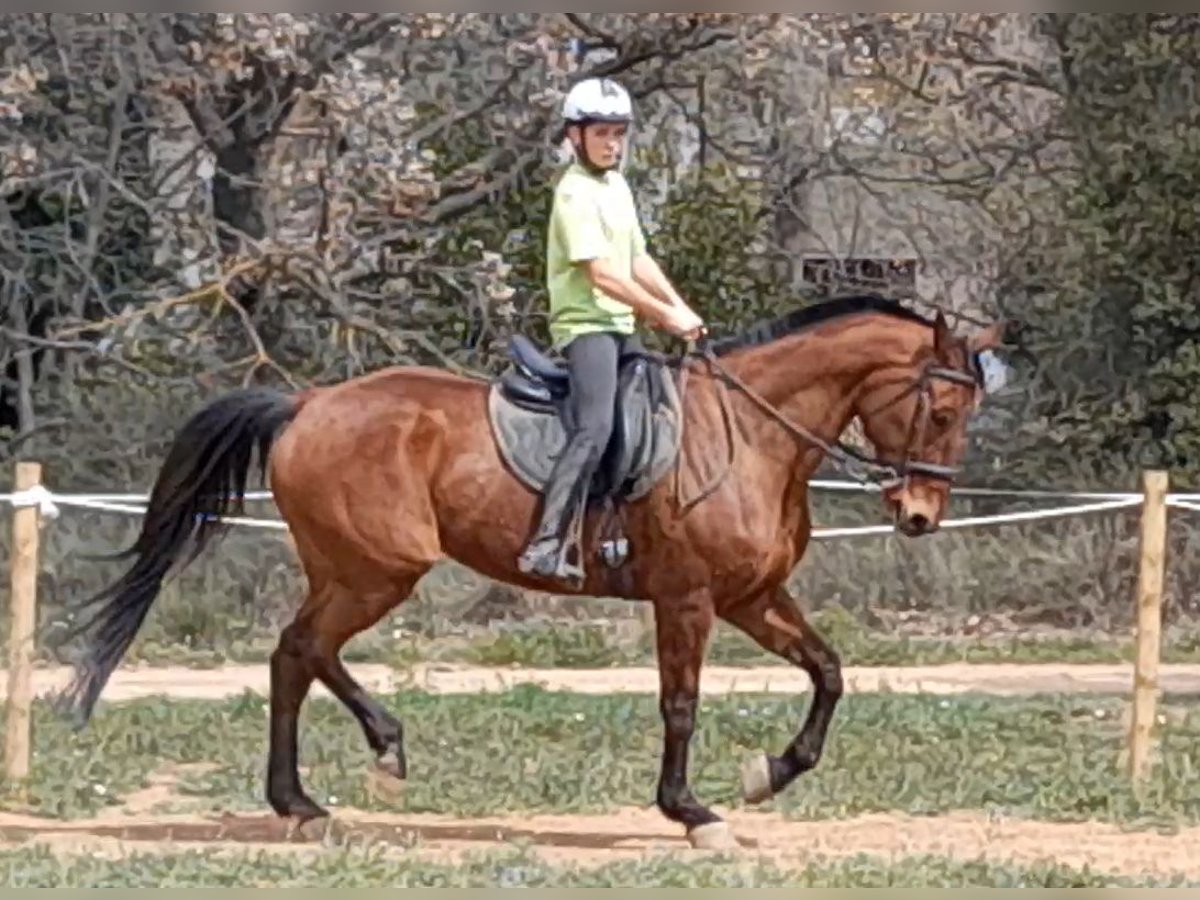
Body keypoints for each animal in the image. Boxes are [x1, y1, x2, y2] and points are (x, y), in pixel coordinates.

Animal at [63, 294, 1003, 854]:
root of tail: (307, 403)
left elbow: (829, 671)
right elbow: (681, 703)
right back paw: (368, 757)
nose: (920, 516)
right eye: (941, 409)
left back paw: (311, 792)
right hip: (378, 570)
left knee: (294, 655)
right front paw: (691, 811)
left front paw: (770, 774)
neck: (751, 436)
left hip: (356, 572)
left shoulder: (752, 598)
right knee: (303, 649)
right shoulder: (689, 599)